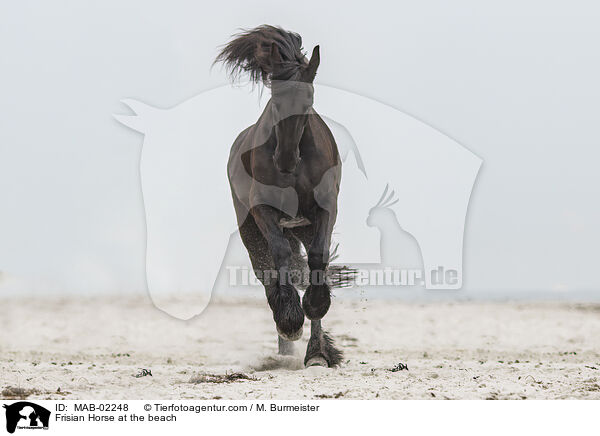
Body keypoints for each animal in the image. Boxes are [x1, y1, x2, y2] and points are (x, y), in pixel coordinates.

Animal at [218, 25, 344, 366]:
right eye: (275, 99)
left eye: (309, 99)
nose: (286, 161)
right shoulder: (264, 210)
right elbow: (279, 257)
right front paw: (289, 320)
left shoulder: (324, 209)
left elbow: (318, 258)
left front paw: (315, 314)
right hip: (251, 229)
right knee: (267, 271)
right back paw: (285, 340)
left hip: (302, 227)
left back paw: (313, 353)